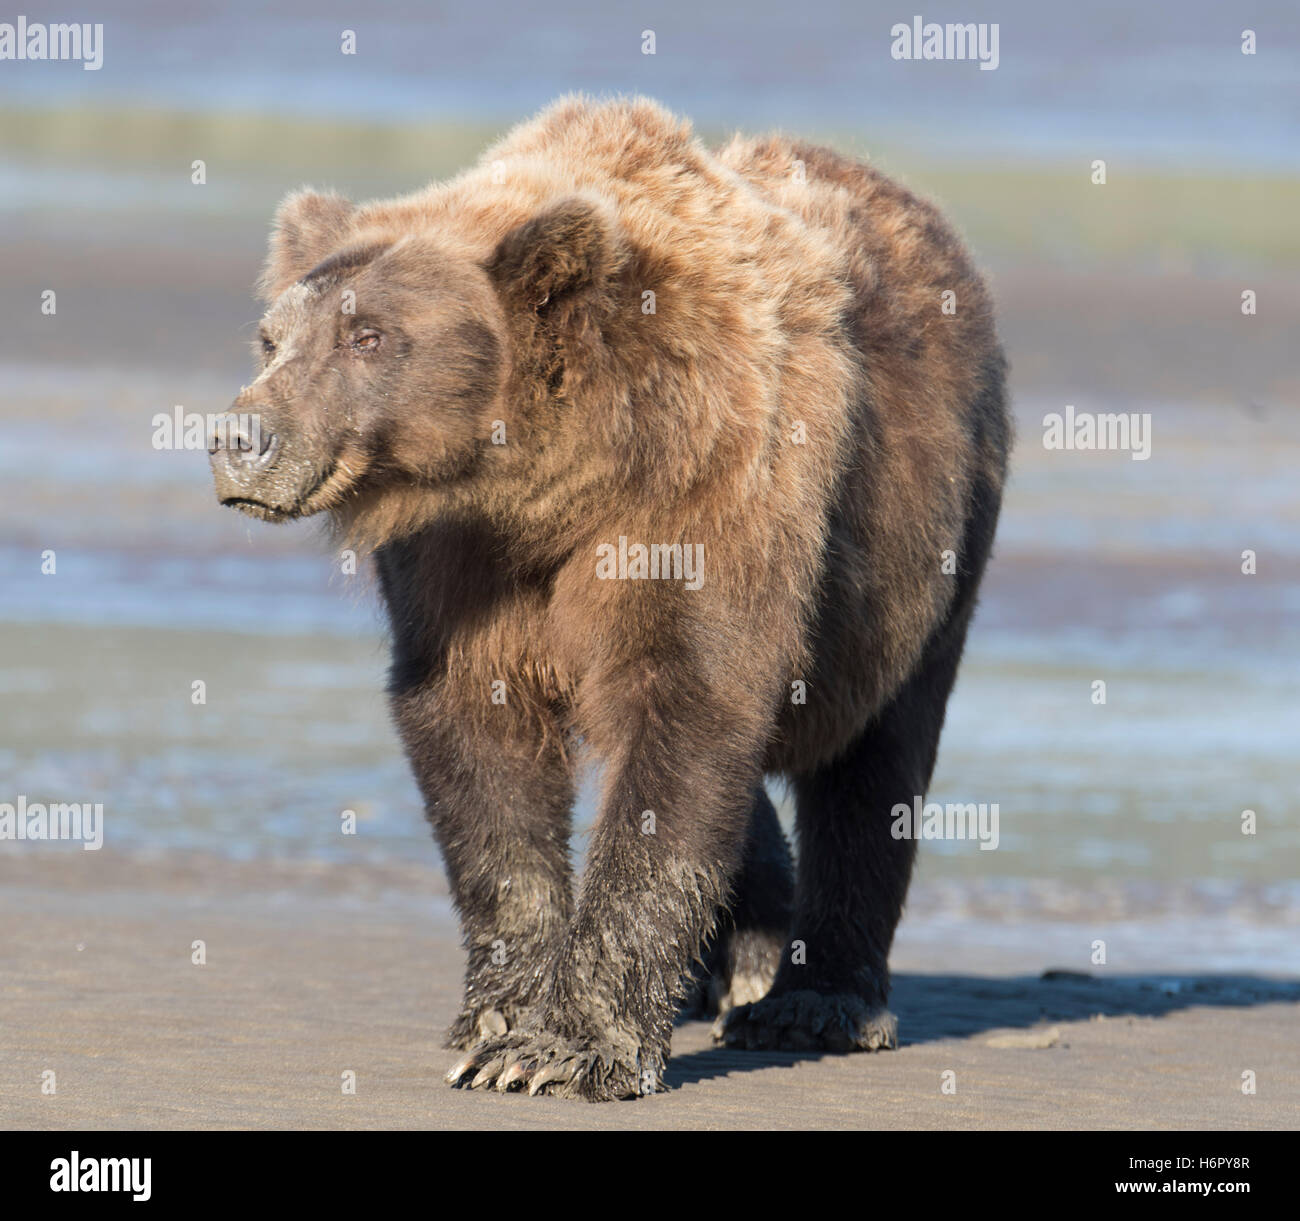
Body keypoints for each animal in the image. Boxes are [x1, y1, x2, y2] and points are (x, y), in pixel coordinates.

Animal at [208, 95, 1008, 1102]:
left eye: (369, 336)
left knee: (876, 759)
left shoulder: (699, 493)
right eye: (272, 338)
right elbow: (478, 745)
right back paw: (745, 958)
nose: (239, 437)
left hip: (923, 547)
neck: (546, 482)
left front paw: (566, 1047)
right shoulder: (461, 567)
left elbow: (685, 715)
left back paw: (817, 999)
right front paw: (499, 1018)